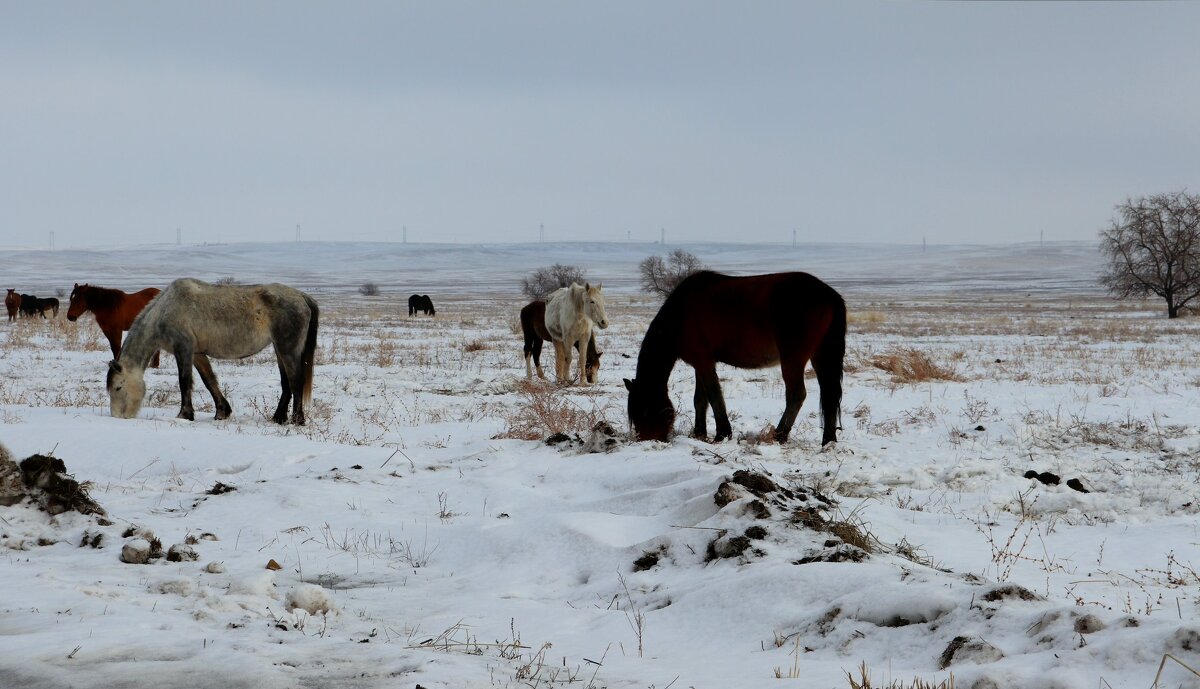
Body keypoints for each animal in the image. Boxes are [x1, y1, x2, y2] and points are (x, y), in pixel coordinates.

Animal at [624, 272, 849, 446]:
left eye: (644, 411)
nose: (648, 441)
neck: (680, 314)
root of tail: (830, 296)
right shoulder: (701, 363)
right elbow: (700, 400)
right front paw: (699, 433)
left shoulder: (704, 362)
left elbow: (714, 395)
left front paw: (722, 434)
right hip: (821, 356)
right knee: (829, 393)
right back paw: (828, 440)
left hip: (793, 359)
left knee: (797, 395)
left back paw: (779, 435)